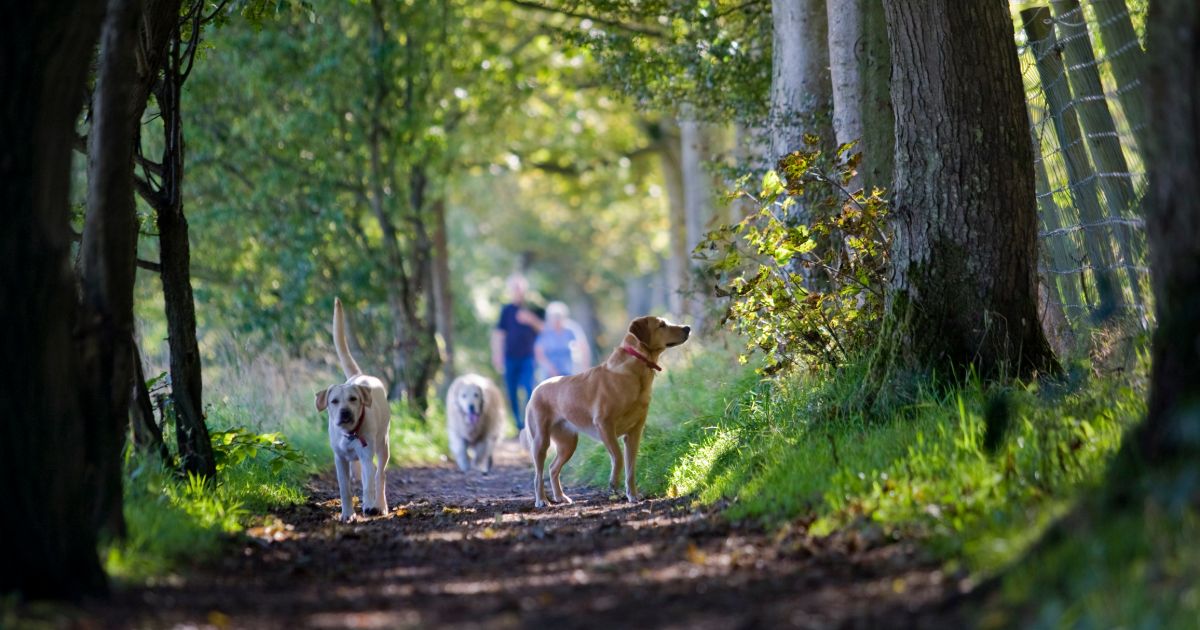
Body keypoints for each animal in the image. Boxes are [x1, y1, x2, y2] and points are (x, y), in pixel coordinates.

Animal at [316, 298, 391, 520]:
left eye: (353, 399)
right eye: (334, 401)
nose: (345, 413)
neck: (350, 434)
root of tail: (360, 375)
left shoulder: (366, 455)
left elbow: (369, 484)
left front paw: (370, 506)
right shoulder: (340, 460)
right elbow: (345, 489)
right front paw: (347, 514)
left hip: (383, 445)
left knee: (379, 474)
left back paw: (380, 504)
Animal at [520, 314, 691, 506]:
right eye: (662, 325)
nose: (688, 328)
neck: (636, 371)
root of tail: (537, 388)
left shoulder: (635, 432)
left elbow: (631, 468)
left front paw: (632, 495)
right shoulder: (605, 425)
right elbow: (618, 457)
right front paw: (613, 482)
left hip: (568, 443)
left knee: (552, 468)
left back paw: (560, 496)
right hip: (540, 440)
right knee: (538, 474)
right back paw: (542, 500)